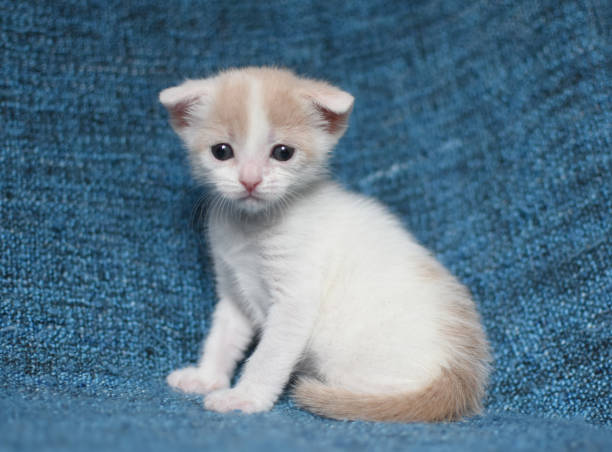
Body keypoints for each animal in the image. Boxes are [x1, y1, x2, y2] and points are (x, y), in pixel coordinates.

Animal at [160, 68, 490, 424]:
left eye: (283, 152)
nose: (250, 180)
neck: (252, 226)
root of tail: (459, 374)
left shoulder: (295, 300)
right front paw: (207, 377)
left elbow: (267, 357)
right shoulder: (232, 289)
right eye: (221, 151)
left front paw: (245, 397)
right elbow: (222, 338)